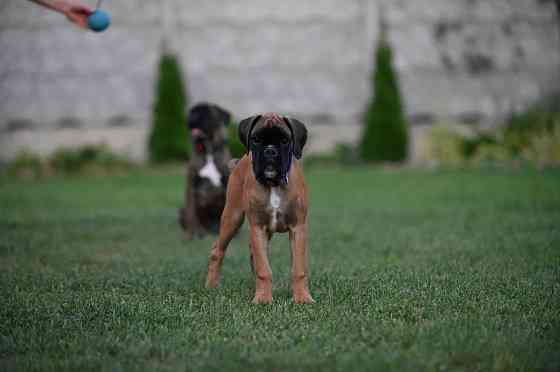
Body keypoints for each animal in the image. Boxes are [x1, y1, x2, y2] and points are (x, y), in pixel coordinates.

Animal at [205, 112, 316, 302]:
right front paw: (264, 299)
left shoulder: (298, 228)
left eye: (284, 140)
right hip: (232, 218)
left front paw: (302, 298)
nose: (270, 151)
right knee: (217, 250)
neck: (273, 184)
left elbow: (299, 269)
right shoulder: (258, 227)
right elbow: (264, 268)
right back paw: (211, 286)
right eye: (256, 139)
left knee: (252, 255)